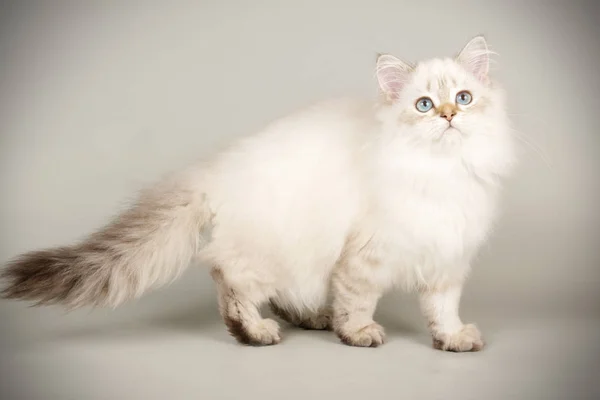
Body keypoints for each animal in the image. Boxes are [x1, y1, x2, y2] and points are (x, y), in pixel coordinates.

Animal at [0, 36, 516, 352]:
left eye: (464, 98)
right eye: (423, 105)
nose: (448, 115)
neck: (442, 172)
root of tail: (216, 169)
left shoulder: (448, 258)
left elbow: (442, 309)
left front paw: (452, 338)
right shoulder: (365, 254)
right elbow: (358, 299)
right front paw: (357, 333)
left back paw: (314, 318)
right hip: (273, 252)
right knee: (229, 278)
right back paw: (255, 331)